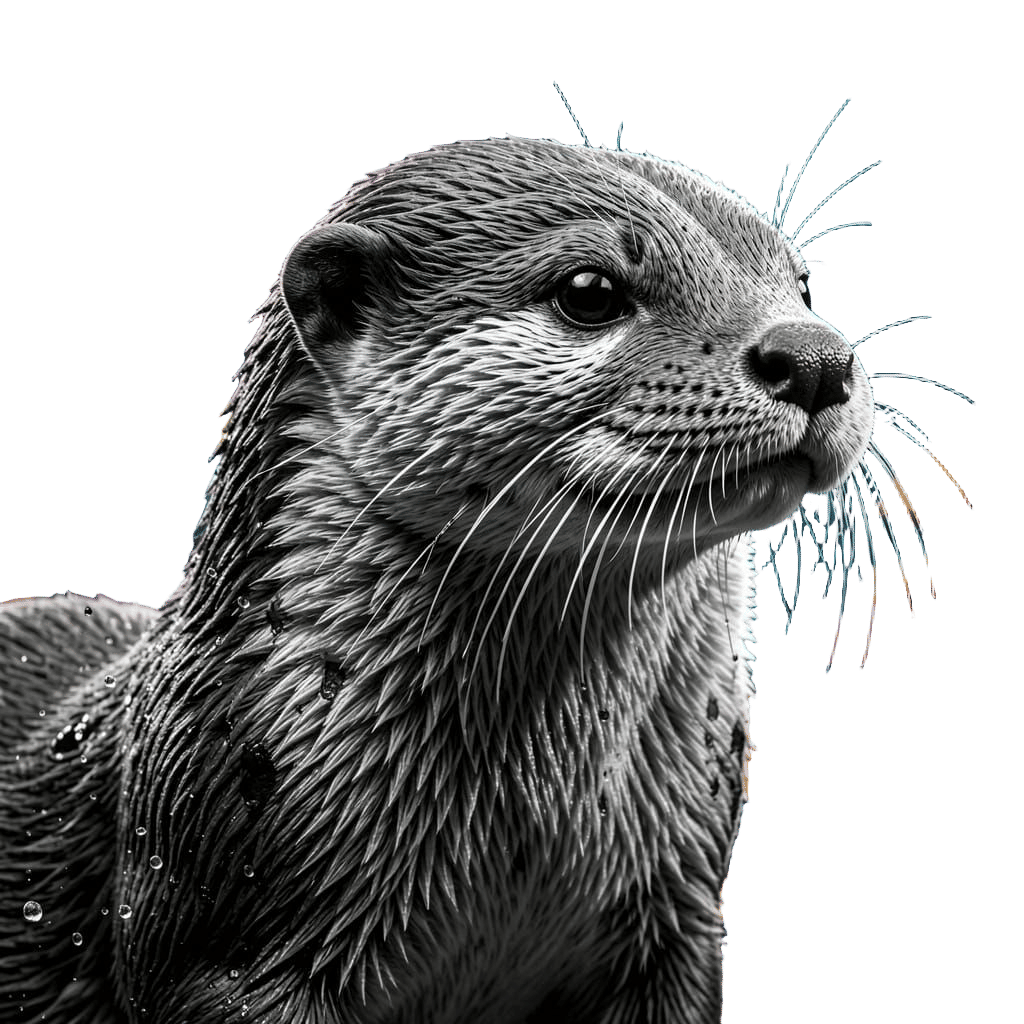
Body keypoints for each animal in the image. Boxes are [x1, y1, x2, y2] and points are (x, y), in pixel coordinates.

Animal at [2, 105, 890, 1023]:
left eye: (804, 286)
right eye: (590, 292)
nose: (815, 356)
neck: (532, 840)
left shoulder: (680, 916)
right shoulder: (225, 951)